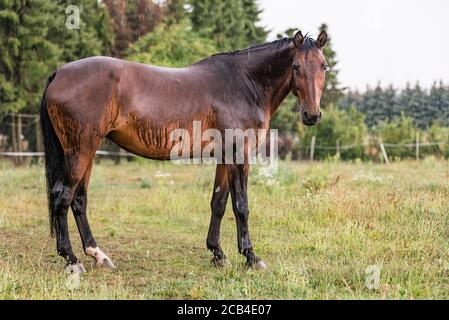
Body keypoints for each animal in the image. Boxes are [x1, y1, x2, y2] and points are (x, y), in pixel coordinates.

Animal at [40, 30, 328, 272]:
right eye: (295, 66)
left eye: (323, 66)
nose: (312, 115)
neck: (245, 83)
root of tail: (58, 74)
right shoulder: (239, 155)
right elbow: (241, 205)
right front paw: (251, 257)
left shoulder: (224, 158)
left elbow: (218, 203)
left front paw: (217, 254)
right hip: (80, 151)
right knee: (62, 196)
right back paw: (72, 260)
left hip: (86, 152)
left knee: (79, 200)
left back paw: (98, 255)